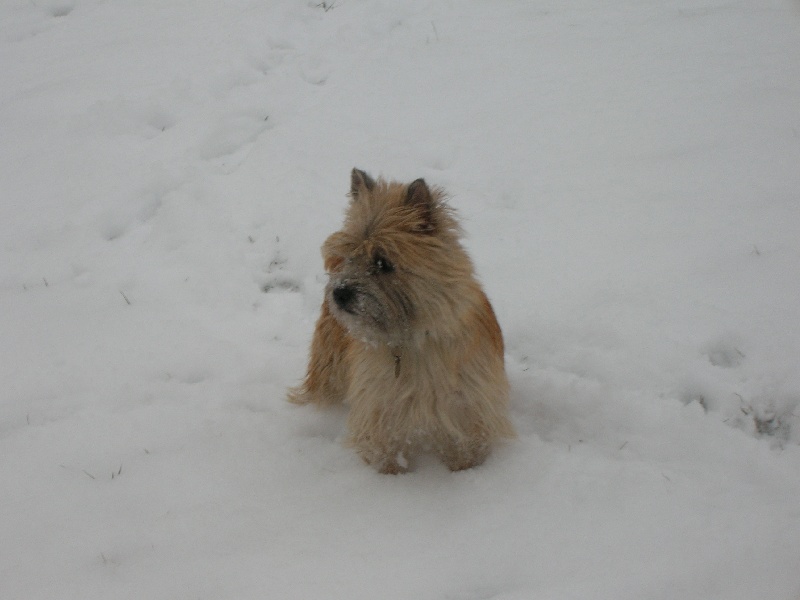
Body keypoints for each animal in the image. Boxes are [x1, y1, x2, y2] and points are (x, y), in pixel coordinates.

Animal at [290, 169, 516, 474]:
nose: (339, 293)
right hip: (330, 366)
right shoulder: (381, 409)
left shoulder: (468, 406)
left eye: (382, 262)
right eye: (348, 256)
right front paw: (392, 480)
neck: (414, 340)